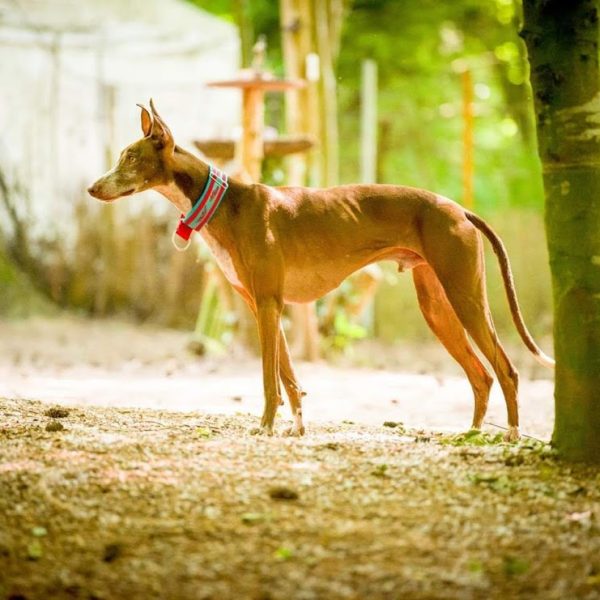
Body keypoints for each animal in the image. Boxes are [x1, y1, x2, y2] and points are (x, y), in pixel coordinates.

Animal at [88, 102, 552, 440]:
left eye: (130, 157)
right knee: (481, 375)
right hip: (438, 308)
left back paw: (510, 435)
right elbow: (289, 377)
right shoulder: (263, 306)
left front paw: (265, 427)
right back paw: (471, 436)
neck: (225, 203)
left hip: (465, 297)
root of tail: (458, 208)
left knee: (505, 370)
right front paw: (295, 427)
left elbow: (269, 380)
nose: (92, 188)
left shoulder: (268, 304)